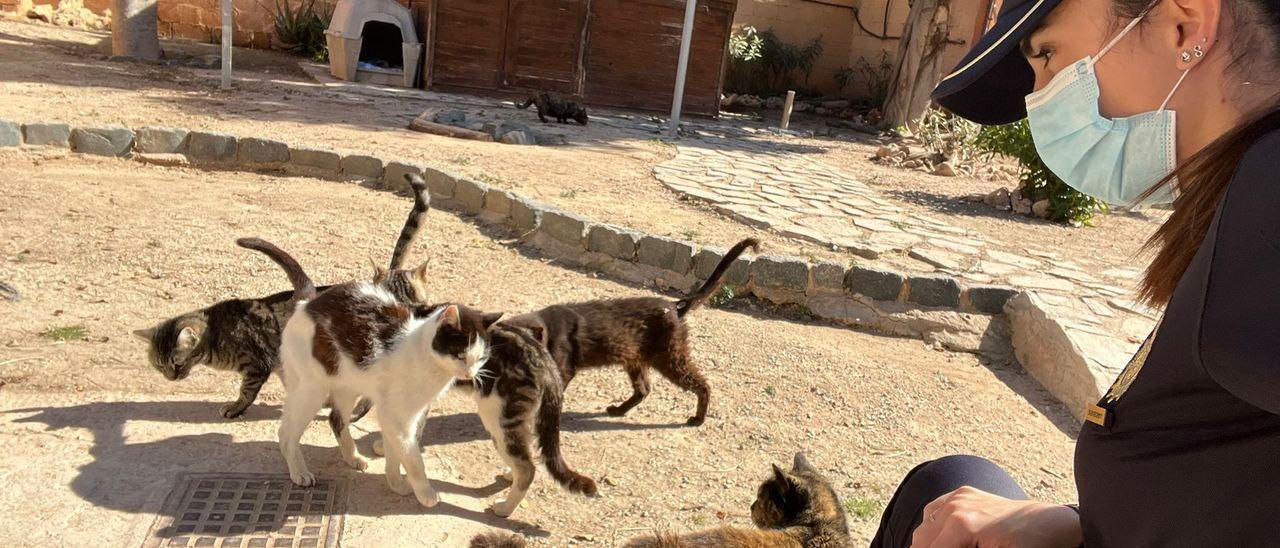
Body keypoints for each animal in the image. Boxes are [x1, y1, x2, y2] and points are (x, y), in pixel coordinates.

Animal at [132, 172, 435, 417]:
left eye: (176, 362)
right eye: (158, 366)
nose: (170, 378)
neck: (215, 333)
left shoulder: (256, 365)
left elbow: (246, 391)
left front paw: (235, 408)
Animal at [240, 235, 499, 504]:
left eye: (481, 358)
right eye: (460, 355)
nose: (470, 374)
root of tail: (308, 302)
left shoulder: (399, 416)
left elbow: (396, 456)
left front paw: (396, 483)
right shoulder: (397, 418)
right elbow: (414, 460)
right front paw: (426, 493)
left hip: (346, 386)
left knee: (335, 419)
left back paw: (353, 458)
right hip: (312, 390)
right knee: (286, 432)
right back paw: (299, 472)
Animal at [501, 235, 757, 425]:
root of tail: (675, 306)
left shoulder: (563, 370)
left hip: (670, 358)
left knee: (702, 384)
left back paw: (698, 419)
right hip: (636, 359)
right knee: (644, 389)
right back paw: (618, 410)